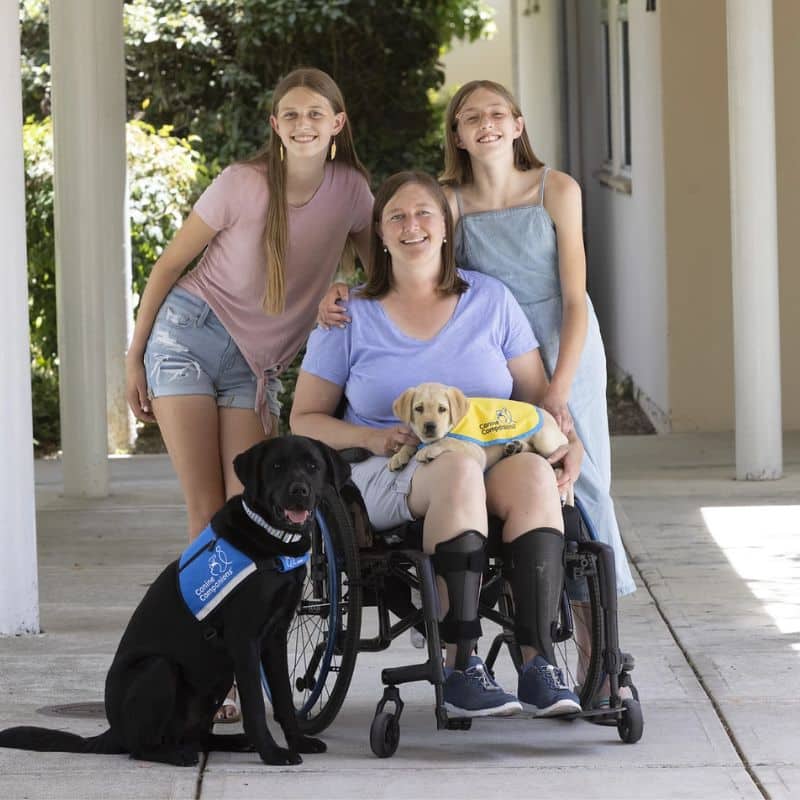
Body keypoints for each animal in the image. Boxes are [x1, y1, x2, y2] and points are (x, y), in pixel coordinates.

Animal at [0, 434, 350, 764]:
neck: (271, 540)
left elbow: (285, 701)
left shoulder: (275, 638)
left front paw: (298, 742)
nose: (299, 490)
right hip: (159, 669)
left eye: (312, 467)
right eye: (277, 466)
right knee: (141, 748)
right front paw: (272, 753)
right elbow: (254, 705)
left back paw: (233, 742)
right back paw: (177, 755)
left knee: (199, 737)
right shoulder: (244, 639)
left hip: (216, 681)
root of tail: (112, 732)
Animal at [390, 382, 568, 472]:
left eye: (442, 409)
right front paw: (399, 456)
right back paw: (515, 447)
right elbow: (411, 442)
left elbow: (450, 441)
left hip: (545, 441)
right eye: (418, 408)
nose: (430, 426)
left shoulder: (477, 453)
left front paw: (428, 450)